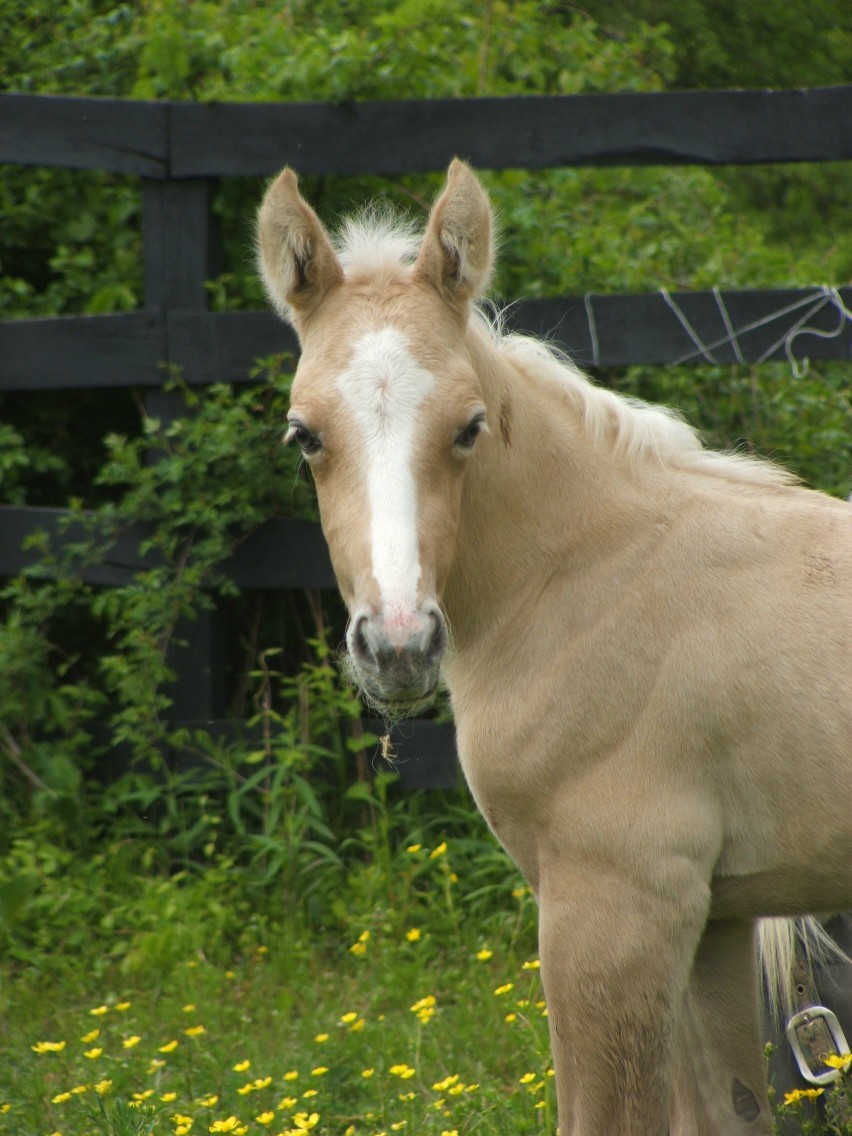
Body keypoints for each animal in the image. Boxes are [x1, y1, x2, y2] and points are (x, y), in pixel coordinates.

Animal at [256, 159, 852, 1135]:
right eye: (304, 436)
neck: (588, 574)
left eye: (469, 427)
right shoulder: (714, 919)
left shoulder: (614, 911)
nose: (397, 646)